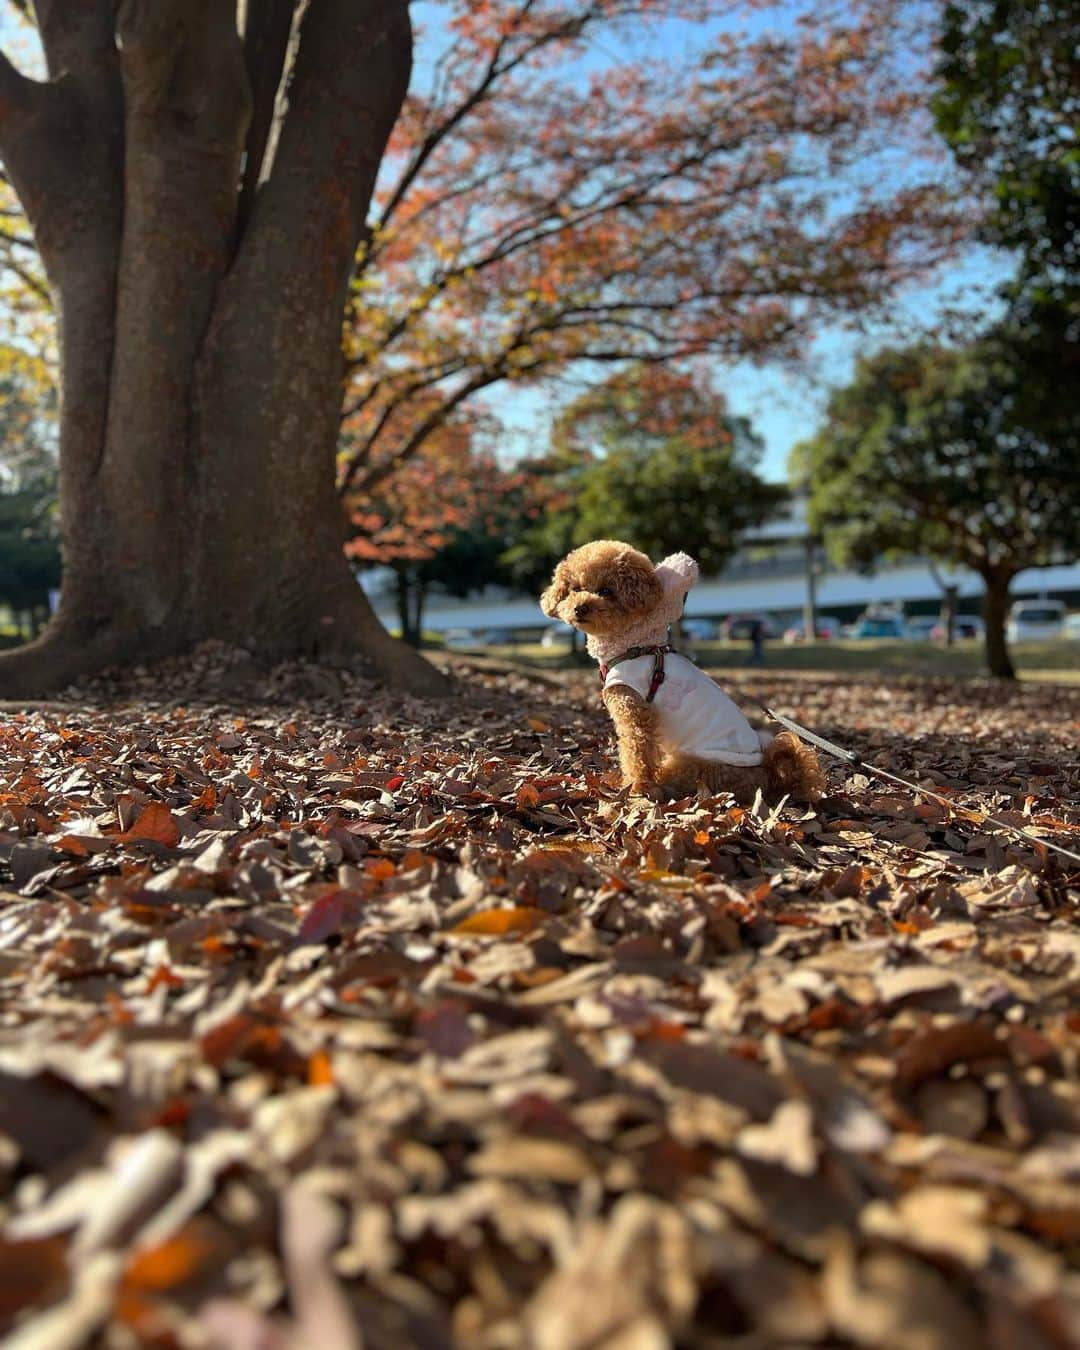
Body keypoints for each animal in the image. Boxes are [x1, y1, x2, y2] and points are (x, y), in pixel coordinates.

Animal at [540, 542, 826, 804]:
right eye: (575, 589)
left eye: (606, 591)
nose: (579, 608)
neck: (634, 647)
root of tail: (766, 775)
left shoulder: (634, 712)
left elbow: (636, 753)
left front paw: (636, 788)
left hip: (691, 765)